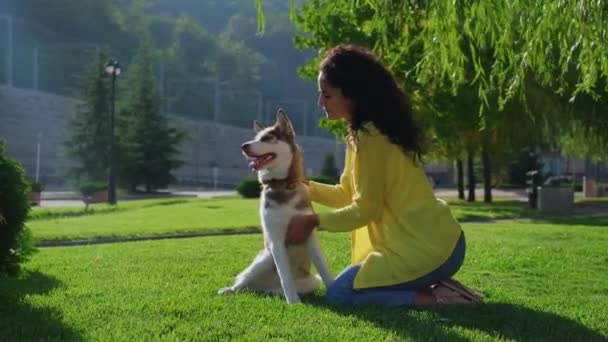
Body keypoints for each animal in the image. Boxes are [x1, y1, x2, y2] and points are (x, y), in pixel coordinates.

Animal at [218, 108, 332, 304]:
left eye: (266, 138)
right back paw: (230, 290)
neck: (282, 186)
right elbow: (285, 275)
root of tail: (264, 286)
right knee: (243, 283)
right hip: (264, 259)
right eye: (256, 138)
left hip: (311, 280)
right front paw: (293, 302)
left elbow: (324, 269)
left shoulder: (309, 236)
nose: (243, 146)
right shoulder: (276, 240)